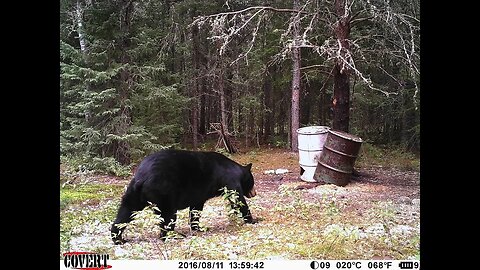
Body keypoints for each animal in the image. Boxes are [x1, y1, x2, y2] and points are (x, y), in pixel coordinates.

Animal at [110, 150, 256, 245]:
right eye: (252, 182)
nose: (254, 193)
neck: (236, 170)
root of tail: (142, 177)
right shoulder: (229, 180)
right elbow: (238, 198)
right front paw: (252, 220)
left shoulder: (199, 195)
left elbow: (196, 209)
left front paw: (197, 227)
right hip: (165, 192)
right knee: (168, 217)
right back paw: (173, 235)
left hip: (133, 193)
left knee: (125, 212)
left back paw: (118, 238)